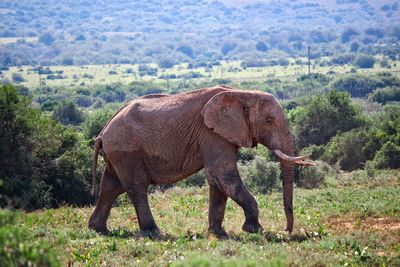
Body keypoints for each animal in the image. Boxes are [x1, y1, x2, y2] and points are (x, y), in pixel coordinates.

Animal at [88, 85, 312, 238]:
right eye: (269, 121)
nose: (285, 230)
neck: (241, 93)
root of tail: (103, 131)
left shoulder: (217, 135)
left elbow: (218, 181)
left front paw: (219, 234)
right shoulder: (212, 134)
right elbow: (225, 176)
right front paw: (255, 230)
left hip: (119, 154)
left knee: (111, 187)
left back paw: (99, 230)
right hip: (127, 152)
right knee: (136, 187)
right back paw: (155, 233)